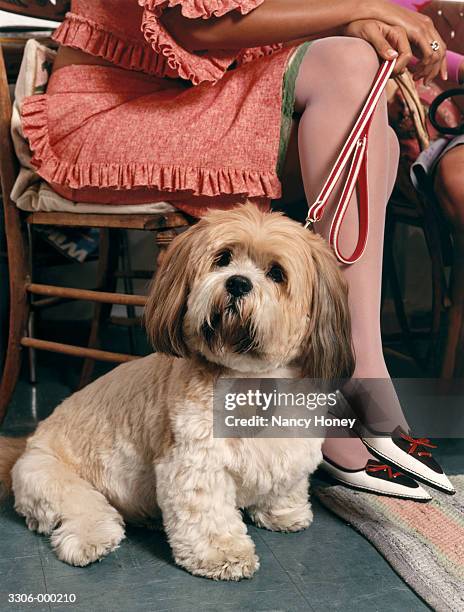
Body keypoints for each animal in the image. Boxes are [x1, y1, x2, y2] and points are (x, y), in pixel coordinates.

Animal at [0, 204, 352, 580]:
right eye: (222, 259)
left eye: (276, 273)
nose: (237, 282)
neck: (253, 380)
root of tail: (27, 443)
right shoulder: (195, 463)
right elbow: (207, 514)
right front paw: (222, 554)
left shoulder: (293, 445)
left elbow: (286, 480)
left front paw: (283, 513)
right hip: (54, 480)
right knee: (85, 511)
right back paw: (92, 539)